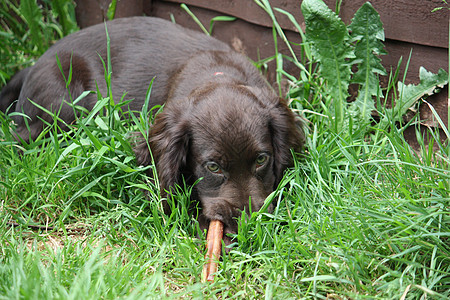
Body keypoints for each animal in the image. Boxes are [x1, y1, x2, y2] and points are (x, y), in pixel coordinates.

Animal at [0, 15, 306, 241]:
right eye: (213, 167)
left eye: (262, 160)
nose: (246, 227)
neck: (218, 74)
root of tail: (33, 66)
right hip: (64, 106)